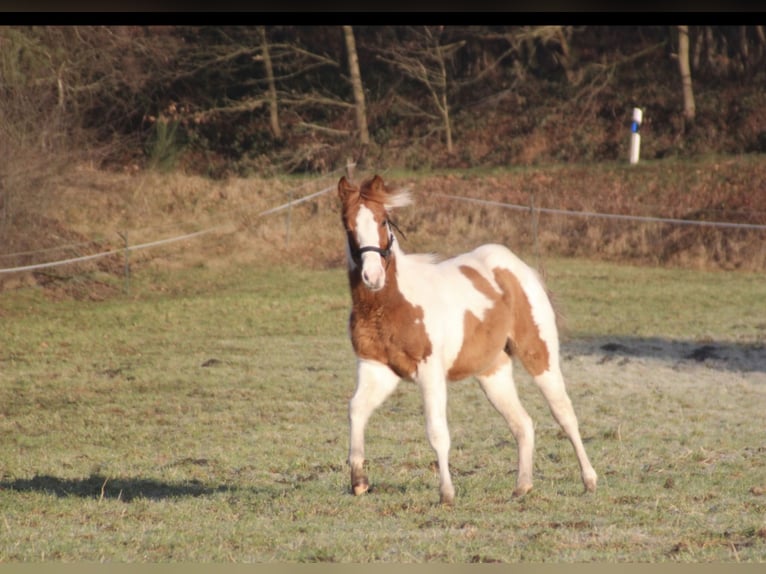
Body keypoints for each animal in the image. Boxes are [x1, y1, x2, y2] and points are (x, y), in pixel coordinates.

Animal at [338, 174, 597, 505]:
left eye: (383, 220)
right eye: (347, 225)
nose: (372, 277)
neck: (391, 305)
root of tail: (518, 267)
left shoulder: (430, 372)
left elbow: (437, 431)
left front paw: (447, 493)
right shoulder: (376, 368)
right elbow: (357, 409)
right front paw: (359, 481)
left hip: (539, 354)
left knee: (564, 413)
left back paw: (589, 480)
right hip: (492, 372)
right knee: (523, 423)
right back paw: (522, 486)